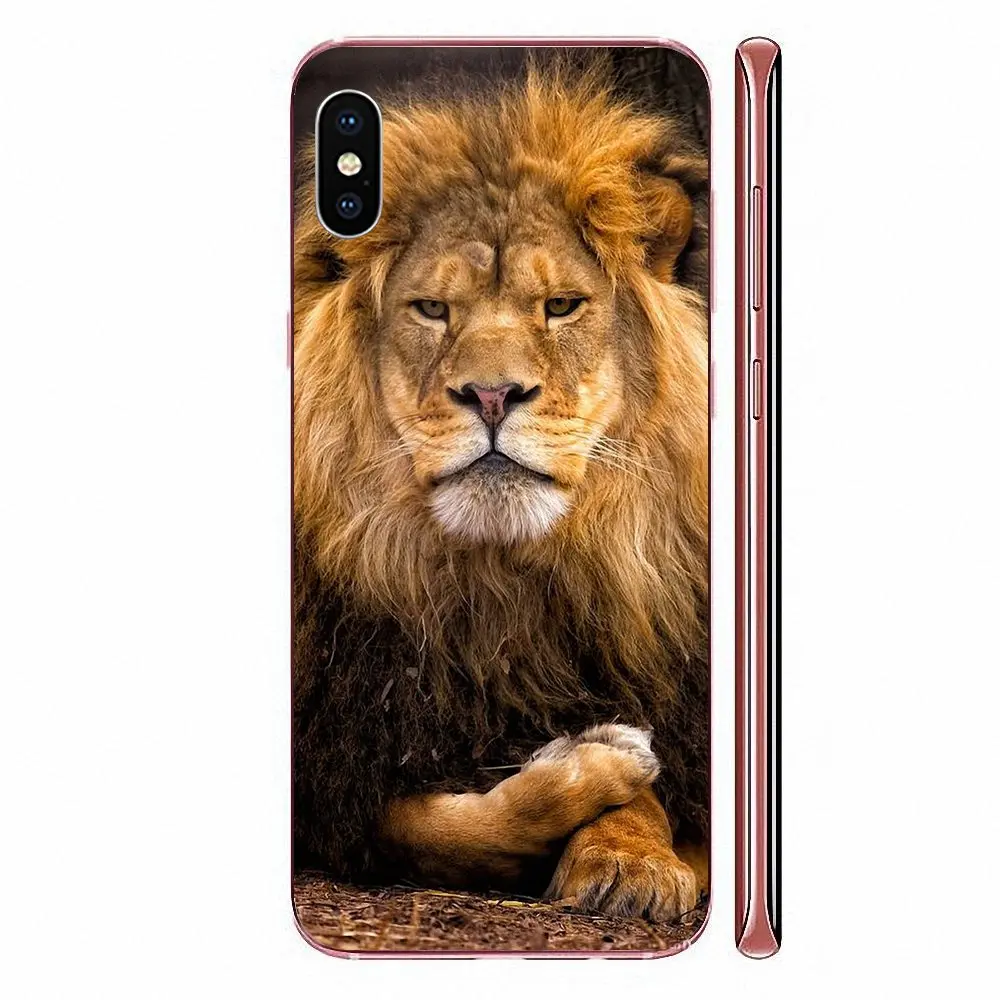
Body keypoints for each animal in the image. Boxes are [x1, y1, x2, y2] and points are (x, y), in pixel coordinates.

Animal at [293, 61, 709, 924]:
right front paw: (597, 764)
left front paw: (631, 859)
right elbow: (440, 831)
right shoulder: (341, 761)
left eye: (561, 306)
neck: (503, 588)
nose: (492, 394)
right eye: (430, 309)